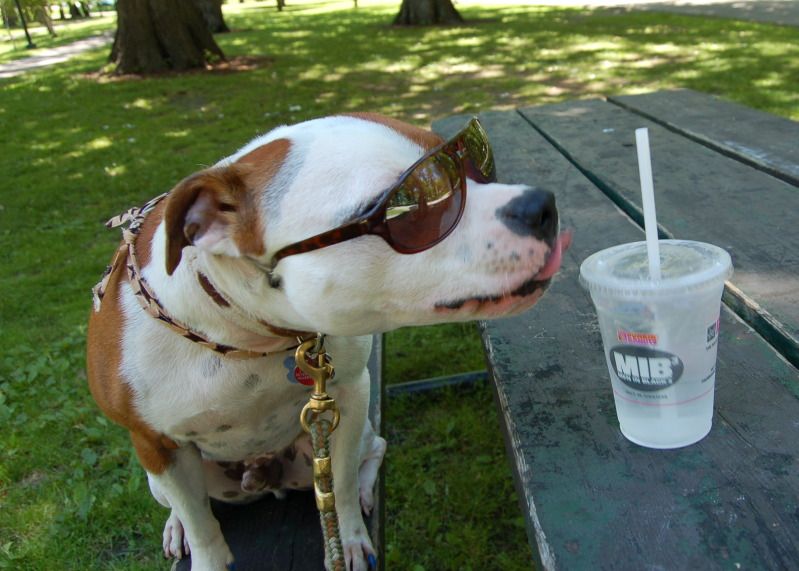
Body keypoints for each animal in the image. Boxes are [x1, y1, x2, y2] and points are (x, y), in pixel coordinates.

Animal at [87, 114, 568, 568]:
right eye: (407, 208)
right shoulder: (154, 442)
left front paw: (350, 539)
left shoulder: (349, 397)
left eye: (473, 159)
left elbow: (340, 481)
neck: (246, 333)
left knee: (370, 453)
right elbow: (203, 527)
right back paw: (176, 527)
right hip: (164, 475)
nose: (542, 205)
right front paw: (202, 550)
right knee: (186, 505)